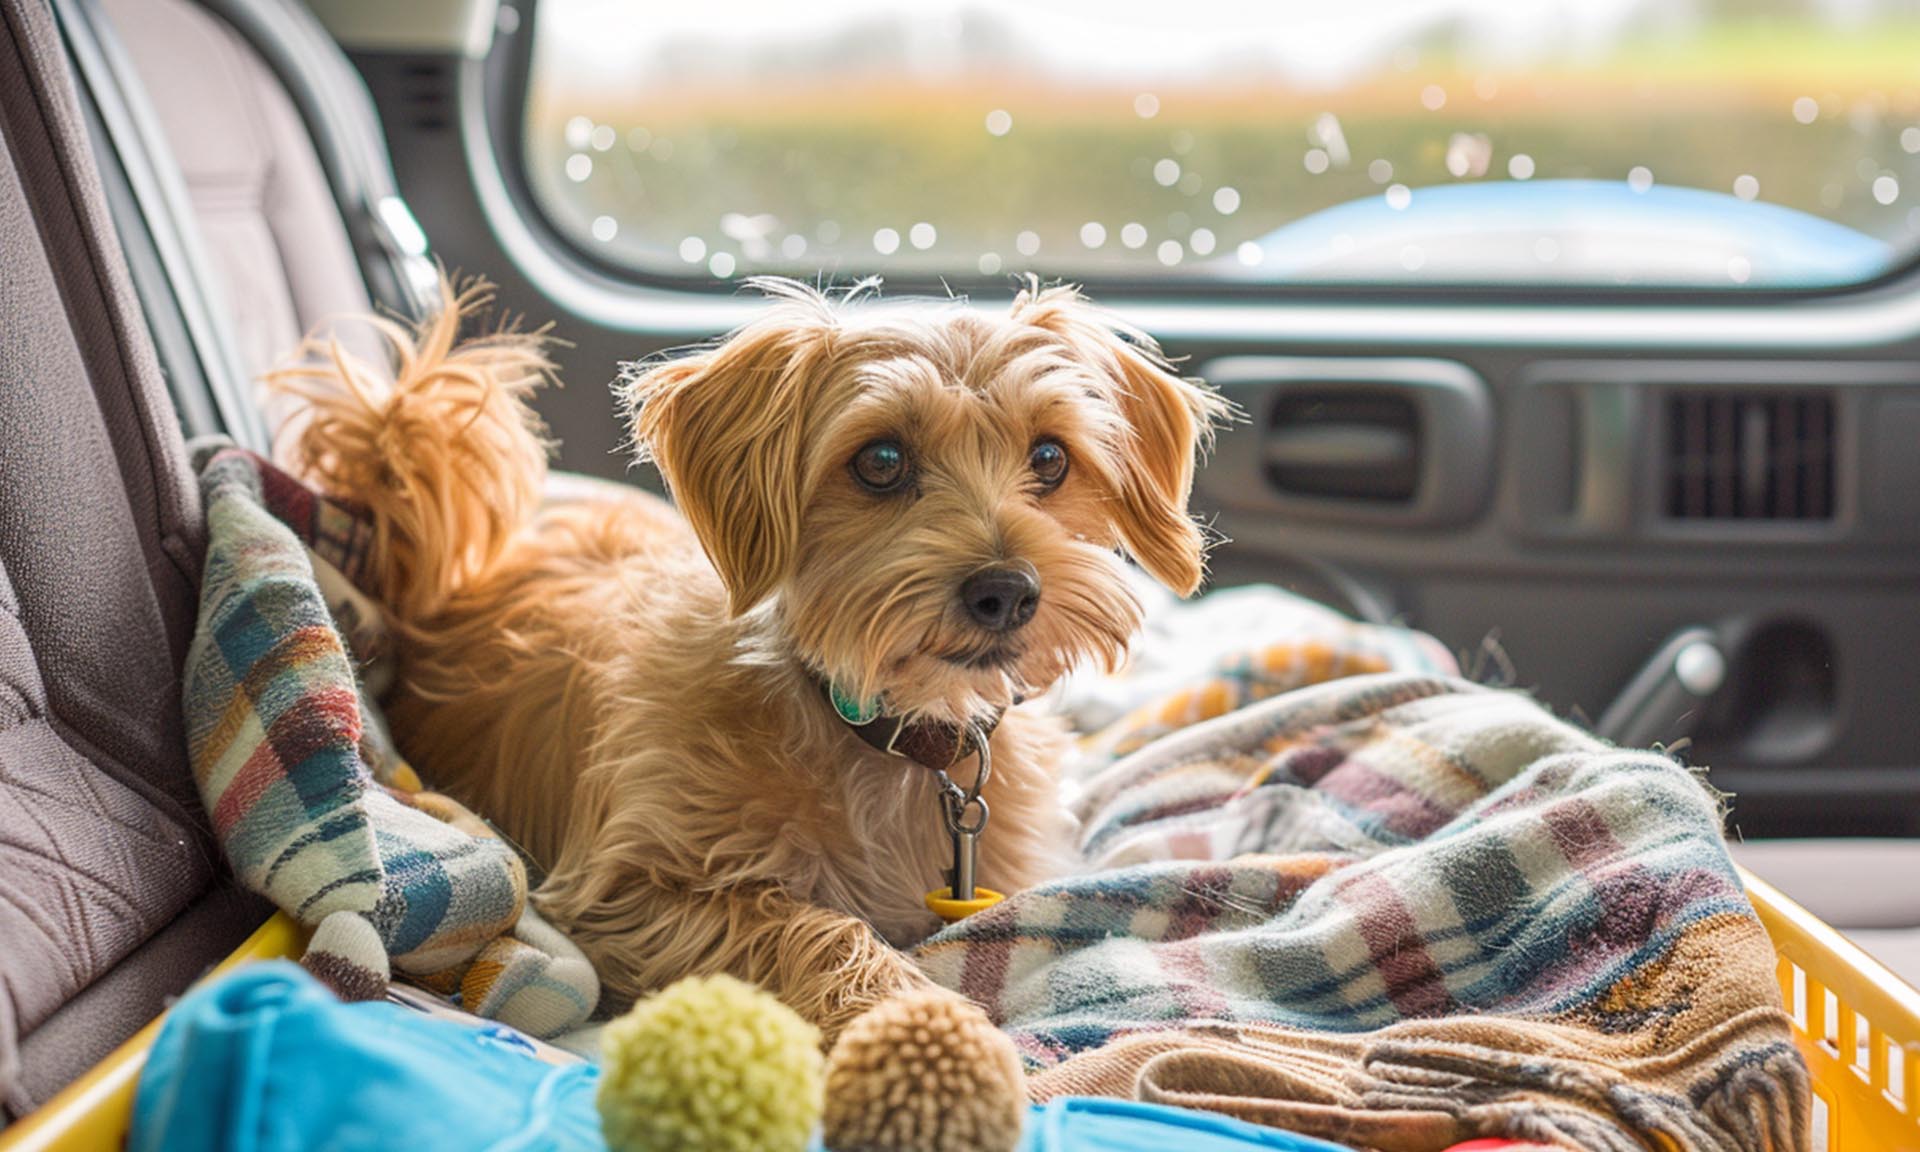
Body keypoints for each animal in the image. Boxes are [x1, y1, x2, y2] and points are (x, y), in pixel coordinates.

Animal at [274, 272, 1213, 1136]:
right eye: (880, 461)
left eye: (1050, 458)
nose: (1007, 591)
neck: (887, 735)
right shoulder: (624, 895)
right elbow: (809, 924)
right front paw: (910, 1020)